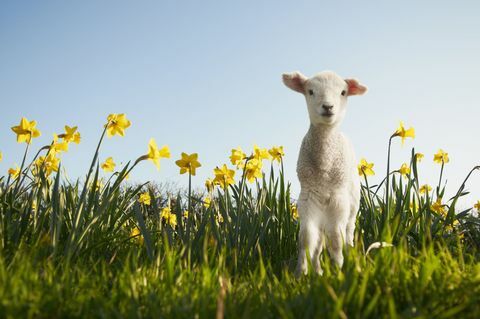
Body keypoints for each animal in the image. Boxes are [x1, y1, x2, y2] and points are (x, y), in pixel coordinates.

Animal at [282, 71, 368, 276]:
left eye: (343, 92)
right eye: (310, 91)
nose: (328, 107)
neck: (324, 171)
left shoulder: (338, 200)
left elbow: (336, 238)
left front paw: (338, 269)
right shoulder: (307, 198)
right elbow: (306, 238)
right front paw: (301, 273)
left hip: (352, 206)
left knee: (347, 232)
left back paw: (349, 255)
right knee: (319, 240)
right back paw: (318, 269)